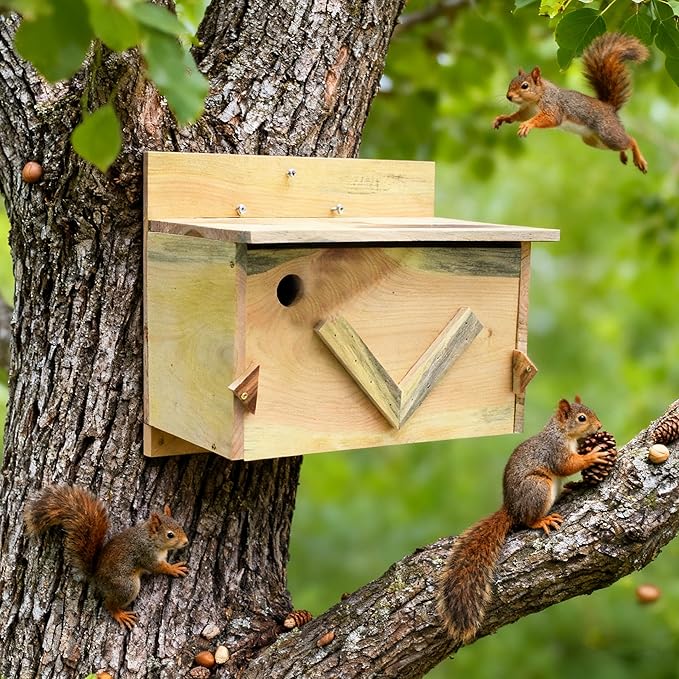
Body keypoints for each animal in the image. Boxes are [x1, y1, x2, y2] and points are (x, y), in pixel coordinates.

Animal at [24, 484, 189, 630]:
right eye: (170, 535)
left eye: (180, 526)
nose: (186, 542)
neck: (151, 538)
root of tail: (96, 576)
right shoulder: (146, 553)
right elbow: (157, 567)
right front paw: (173, 568)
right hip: (127, 586)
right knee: (109, 604)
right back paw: (120, 615)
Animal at [436, 396, 609, 644]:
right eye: (582, 418)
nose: (600, 426)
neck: (561, 433)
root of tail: (511, 509)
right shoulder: (555, 451)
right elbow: (567, 465)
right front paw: (592, 455)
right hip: (538, 487)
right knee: (528, 520)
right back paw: (542, 520)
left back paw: (569, 488)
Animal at [493, 32, 649, 173]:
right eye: (511, 83)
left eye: (525, 86)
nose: (508, 96)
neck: (536, 99)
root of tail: (609, 107)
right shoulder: (528, 110)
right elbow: (519, 116)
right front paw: (504, 117)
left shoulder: (553, 106)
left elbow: (550, 118)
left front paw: (527, 125)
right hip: (595, 141)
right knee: (622, 145)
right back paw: (624, 155)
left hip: (608, 133)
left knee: (630, 140)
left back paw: (639, 159)